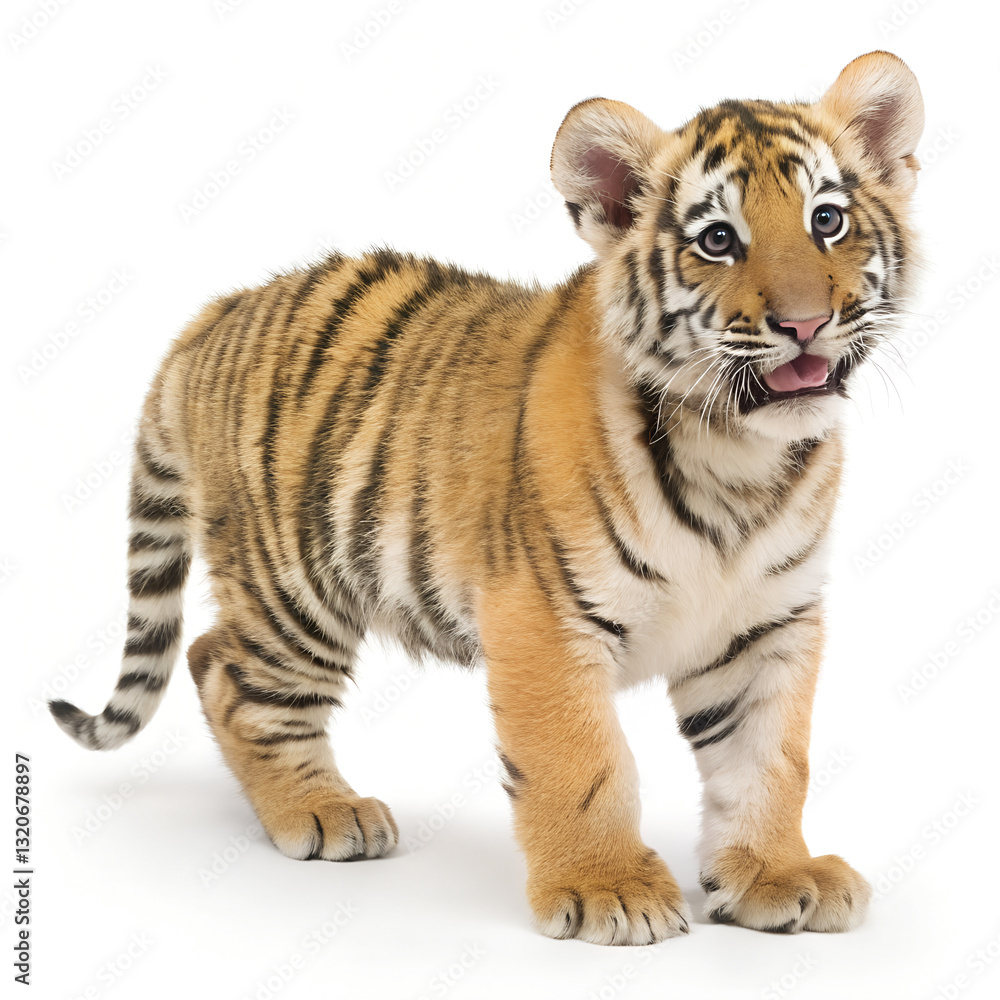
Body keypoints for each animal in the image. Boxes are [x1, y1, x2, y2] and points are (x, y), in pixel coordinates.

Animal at [50, 50, 923, 946]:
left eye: (827, 221)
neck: (739, 457)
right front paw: (609, 888)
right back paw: (322, 812)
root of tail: (211, 314)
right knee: (227, 672)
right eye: (719, 240)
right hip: (294, 581)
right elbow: (583, 760)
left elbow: (770, 759)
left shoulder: (769, 625)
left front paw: (775, 874)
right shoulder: (544, 615)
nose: (805, 324)